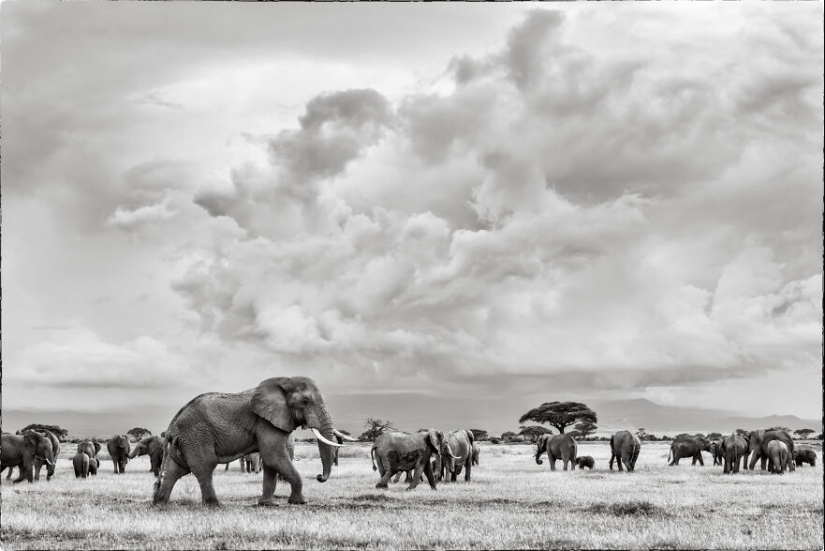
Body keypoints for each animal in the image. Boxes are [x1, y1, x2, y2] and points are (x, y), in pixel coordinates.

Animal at [153, 376, 352, 508]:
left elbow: (271, 461)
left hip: (183, 442)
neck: (284, 381)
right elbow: (273, 456)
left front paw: (267, 504)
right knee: (204, 467)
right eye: (305, 401)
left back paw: (159, 504)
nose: (320, 477)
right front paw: (300, 502)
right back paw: (215, 505)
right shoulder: (265, 422)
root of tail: (172, 425)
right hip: (196, 437)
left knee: (174, 470)